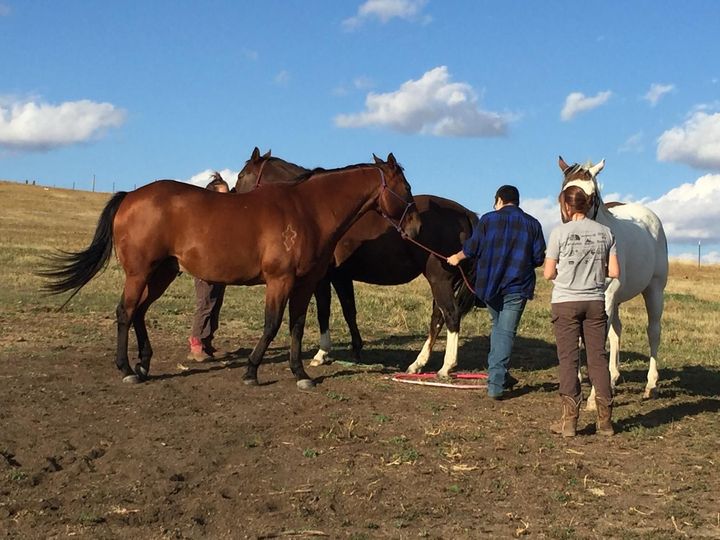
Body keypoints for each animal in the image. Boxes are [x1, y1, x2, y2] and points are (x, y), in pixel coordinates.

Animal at [40, 155, 421, 390]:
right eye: (406, 188)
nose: (416, 227)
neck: (308, 211)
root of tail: (132, 196)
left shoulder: (305, 284)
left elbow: (297, 327)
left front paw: (300, 373)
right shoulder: (280, 281)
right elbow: (272, 325)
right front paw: (252, 371)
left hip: (162, 273)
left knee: (139, 312)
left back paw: (144, 365)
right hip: (140, 273)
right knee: (125, 312)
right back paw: (127, 369)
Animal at [236, 147, 478, 377]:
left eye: (241, 175)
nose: (234, 196)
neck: (316, 210)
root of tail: (466, 213)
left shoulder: (323, 277)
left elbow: (325, 311)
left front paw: (322, 353)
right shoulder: (341, 277)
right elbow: (348, 310)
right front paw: (355, 349)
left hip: (440, 279)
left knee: (451, 315)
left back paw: (446, 367)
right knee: (438, 317)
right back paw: (417, 364)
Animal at [558, 156, 668, 408]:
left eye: (592, 196)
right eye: (563, 194)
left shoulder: (606, 296)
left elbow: (594, 339)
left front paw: (592, 398)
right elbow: (579, 338)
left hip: (654, 289)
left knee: (653, 331)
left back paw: (650, 385)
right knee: (616, 331)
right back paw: (613, 378)